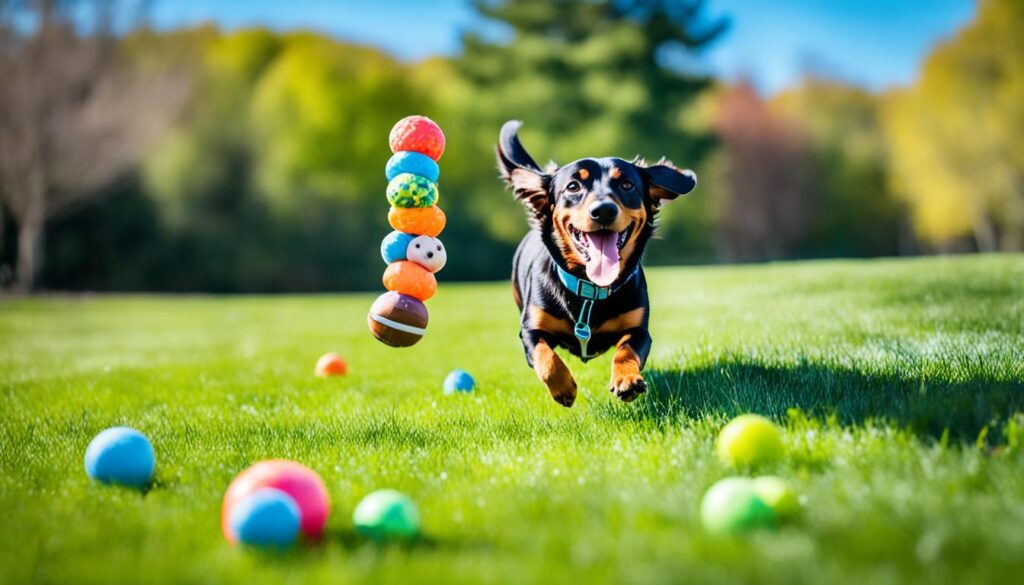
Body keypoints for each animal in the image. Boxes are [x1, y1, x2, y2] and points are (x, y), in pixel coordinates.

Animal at [495, 120, 696, 407]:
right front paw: (564, 388)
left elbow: (626, 350)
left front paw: (627, 380)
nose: (603, 211)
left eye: (626, 185)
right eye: (573, 186)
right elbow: (546, 358)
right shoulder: (531, 330)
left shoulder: (639, 329)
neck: (590, 288)